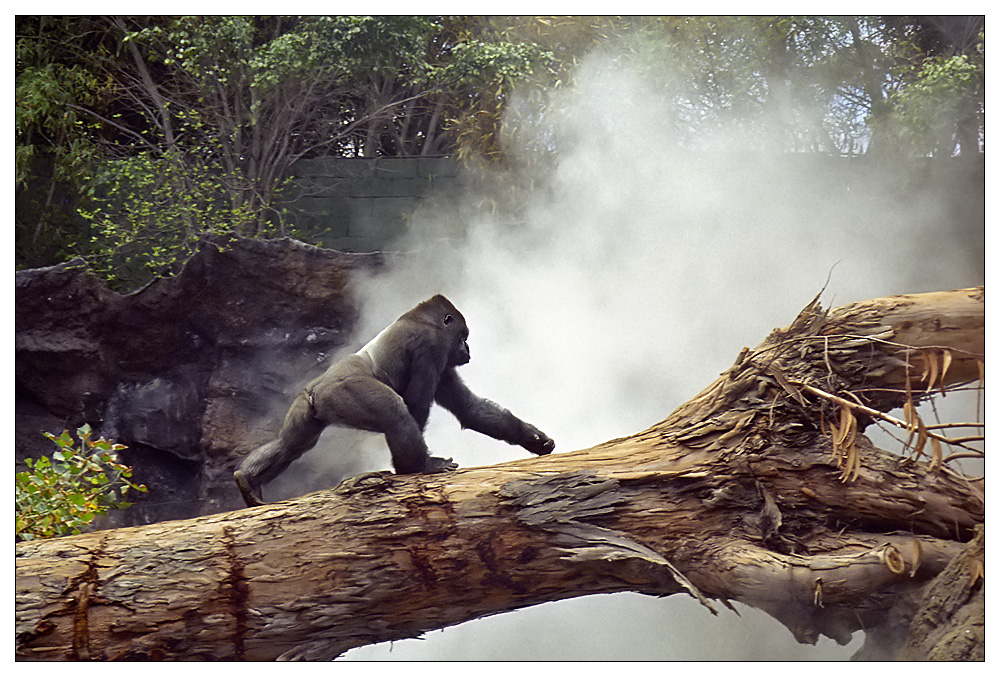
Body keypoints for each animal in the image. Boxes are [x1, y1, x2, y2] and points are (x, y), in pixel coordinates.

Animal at [233, 294, 556, 504]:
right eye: (463, 336)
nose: (467, 350)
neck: (423, 319)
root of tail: (317, 390)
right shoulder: (431, 346)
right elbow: (415, 404)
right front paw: (415, 465)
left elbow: (469, 410)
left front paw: (530, 437)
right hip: (342, 391)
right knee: (394, 412)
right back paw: (417, 467)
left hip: (307, 403)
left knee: (292, 444)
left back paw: (248, 480)